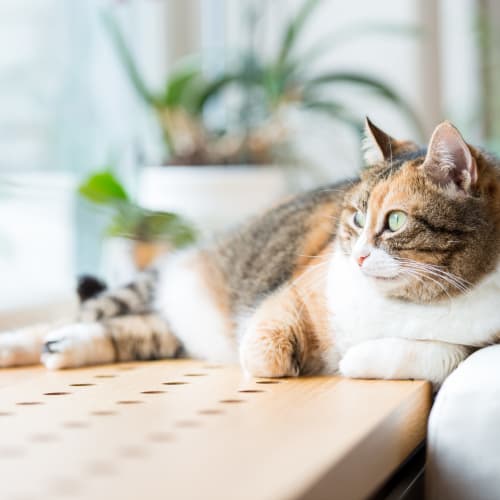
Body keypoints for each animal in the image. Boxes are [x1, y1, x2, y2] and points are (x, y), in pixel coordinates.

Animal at [1, 118, 498, 390]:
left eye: (394, 221)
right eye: (357, 218)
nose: (358, 256)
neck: (403, 303)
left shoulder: (481, 341)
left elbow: (444, 355)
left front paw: (354, 359)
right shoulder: (293, 291)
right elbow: (264, 350)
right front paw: (294, 359)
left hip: (164, 328)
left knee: (129, 329)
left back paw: (62, 349)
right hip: (152, 281)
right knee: (81, 314)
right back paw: (23, 345)